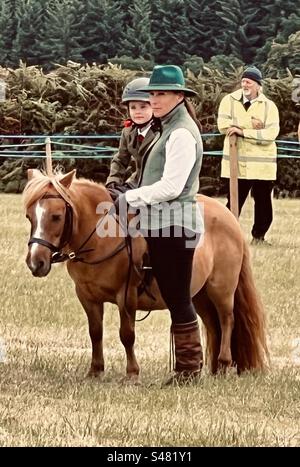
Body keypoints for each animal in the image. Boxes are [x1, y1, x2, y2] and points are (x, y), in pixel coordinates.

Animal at [22, 170, 268, 382]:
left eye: (56, 216)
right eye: (29, 216)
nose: (36, 262)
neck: (101, 238)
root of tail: (229, 216)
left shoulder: (126, 295)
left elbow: (126, 334)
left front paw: (132, 373)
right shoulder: (87, 296)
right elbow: (95, 333)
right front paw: (95, 370)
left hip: (221, 290)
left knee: (227, 321)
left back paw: (224, 364)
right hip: (199, 296)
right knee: (212, 324)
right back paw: (213, 368)